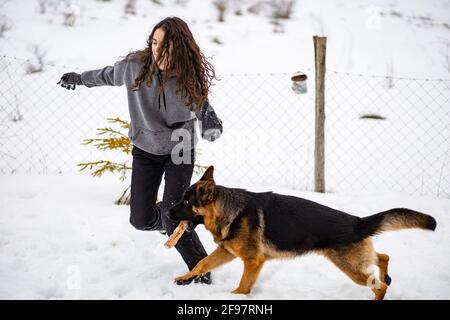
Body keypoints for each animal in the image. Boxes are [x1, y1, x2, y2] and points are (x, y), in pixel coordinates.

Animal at [169, 166, 436, 298]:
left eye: (185, 203)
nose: (167, 212)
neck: (230, 210)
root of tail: (357, 222)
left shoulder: (253, 261)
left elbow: (244, 286)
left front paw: (234, 297)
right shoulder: (227, 251)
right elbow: (202, 263)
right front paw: (184, 278)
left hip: (350, 267)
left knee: (379, 286)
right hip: (355, 260)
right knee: (383, 257)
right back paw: (386, 274)